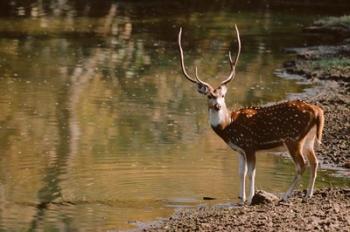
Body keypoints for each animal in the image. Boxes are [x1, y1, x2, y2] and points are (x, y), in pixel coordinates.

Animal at [178, 24, 326, 204]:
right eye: (209, 96)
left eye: (222, 95)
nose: (218, 106)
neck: (228, 126)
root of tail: (318, 111)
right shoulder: (240, 150)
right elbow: (241, 173)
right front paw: (241, 198)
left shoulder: (249, 144)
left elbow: (251, 173)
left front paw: (249, 199)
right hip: (309, 139)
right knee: (315, 162)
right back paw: (308, 194)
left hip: (293, 138)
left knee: (302, 165)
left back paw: (285, 196)